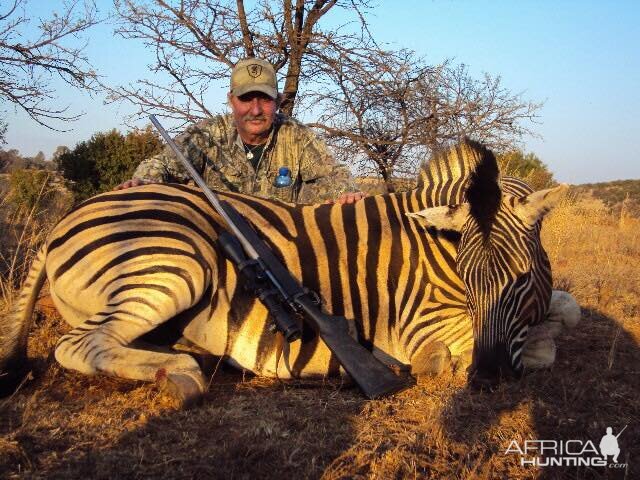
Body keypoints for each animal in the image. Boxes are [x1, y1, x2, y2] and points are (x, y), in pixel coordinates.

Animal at [0, 141, 580, 404]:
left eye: (521, 278)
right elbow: (547, 343)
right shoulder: (426, 325)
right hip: (175, 266)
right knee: (78, 345)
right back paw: (181, 375)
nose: (489, 378)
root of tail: (64, 222)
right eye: (469, 278)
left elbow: (566, 309)